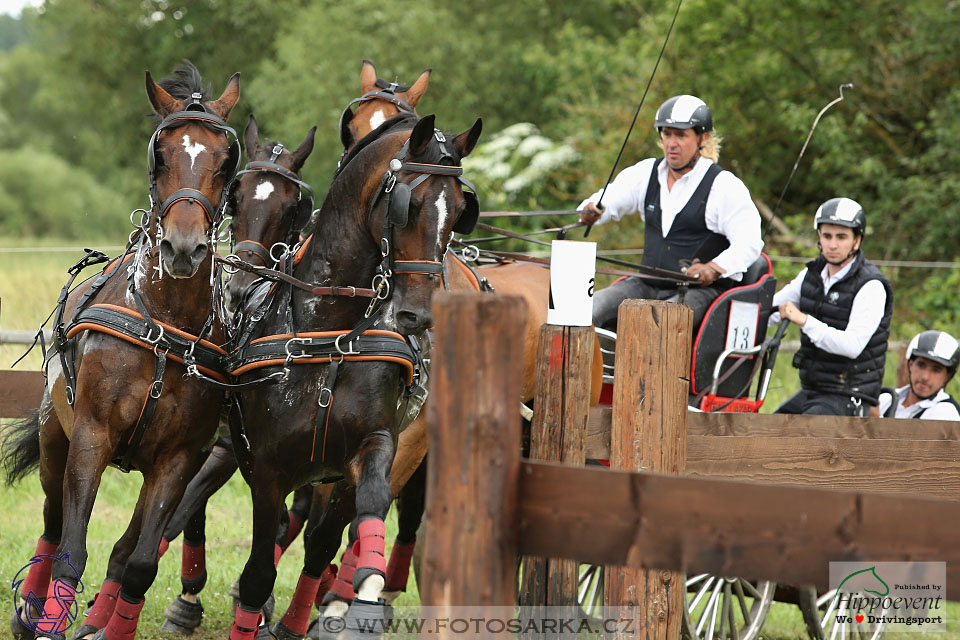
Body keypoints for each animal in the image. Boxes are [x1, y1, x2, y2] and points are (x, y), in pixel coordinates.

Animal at [1, 62, 240, 640]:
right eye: (161, 154)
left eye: (225, 161)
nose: (183, 248)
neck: (165, 327)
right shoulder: (91, 436)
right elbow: (71, 550)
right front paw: (48, 620)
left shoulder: (180, 459)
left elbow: (138, 561)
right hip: (55, 441)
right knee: (52, 524)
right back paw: (29, 610)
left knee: (125, 548)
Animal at [224, 112, 480, 636]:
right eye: (409, 206)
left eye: (461, 209)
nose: (419, 315)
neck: (329, 331)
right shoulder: (267, 469)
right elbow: (259, 571)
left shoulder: (372, 447)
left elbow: (359, 518)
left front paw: (361, 594)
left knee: (324, 541)